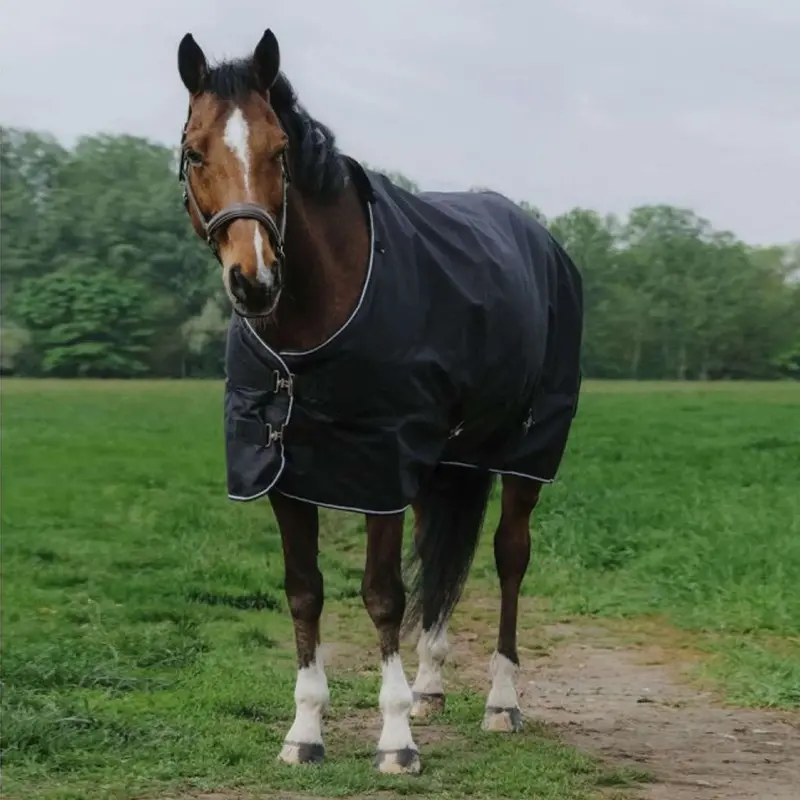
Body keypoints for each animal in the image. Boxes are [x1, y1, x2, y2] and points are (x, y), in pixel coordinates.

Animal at [176, 29, 583, 775]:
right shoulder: (284, 471)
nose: (254, 279)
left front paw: (395, 741)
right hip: (446, 460)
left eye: (280, 151)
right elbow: (305, 591)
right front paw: (305, 731)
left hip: (526, 448)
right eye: (196, 152)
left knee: (509, 556)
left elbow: (383, 595)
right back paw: (429, 688)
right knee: (442, 557)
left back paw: (501, 701)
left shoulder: (380, 467)